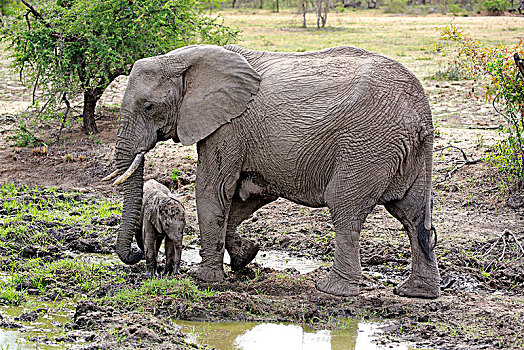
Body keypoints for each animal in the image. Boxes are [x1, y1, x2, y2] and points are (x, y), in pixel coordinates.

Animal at [108, 44, 440, 298]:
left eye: (148, 107)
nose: (135, 254)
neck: (182, 59)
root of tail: (422, 115)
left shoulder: (228, 126)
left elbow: (212, 190)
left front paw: (206, 280)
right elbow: (245, 197)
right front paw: (246, 256)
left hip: (367, 144)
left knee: (345, 208)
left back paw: (333, 289)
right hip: (404, 151)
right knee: (412, 216)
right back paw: (416, 293)